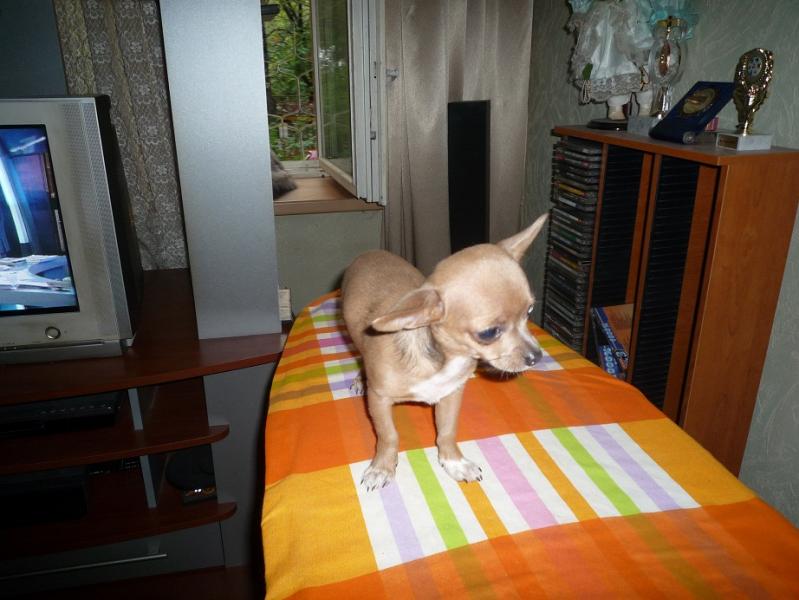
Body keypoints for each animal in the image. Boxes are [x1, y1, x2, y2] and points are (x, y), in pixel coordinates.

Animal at [341, 213, 548, 490]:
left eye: (529, 312)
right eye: (489, 333)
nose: (537, 357)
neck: (448, 360)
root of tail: (369, 253)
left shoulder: (451, 395)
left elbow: (447, 431)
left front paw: (454, 462)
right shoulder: (379, 400)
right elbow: (388, 436)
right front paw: (382, 467)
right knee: (359, 355)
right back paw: (359, 379)